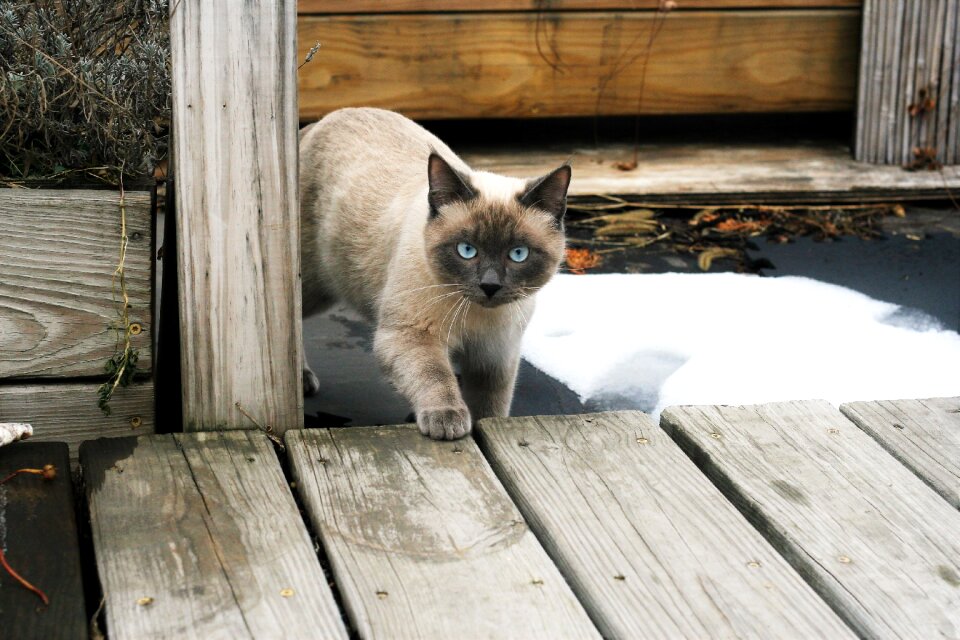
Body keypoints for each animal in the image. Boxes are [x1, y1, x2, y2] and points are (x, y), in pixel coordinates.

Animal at [300, 109, 568, 440]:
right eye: (467, 250)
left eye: (518, 254)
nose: (490, 285)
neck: (478, 318)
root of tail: (322, 119)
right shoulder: (411, 335)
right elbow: (436, 376)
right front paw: (448, 421)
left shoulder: (495, 357)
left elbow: (491, 408)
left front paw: (484, 425)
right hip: (313, 288)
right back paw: (302, 378)